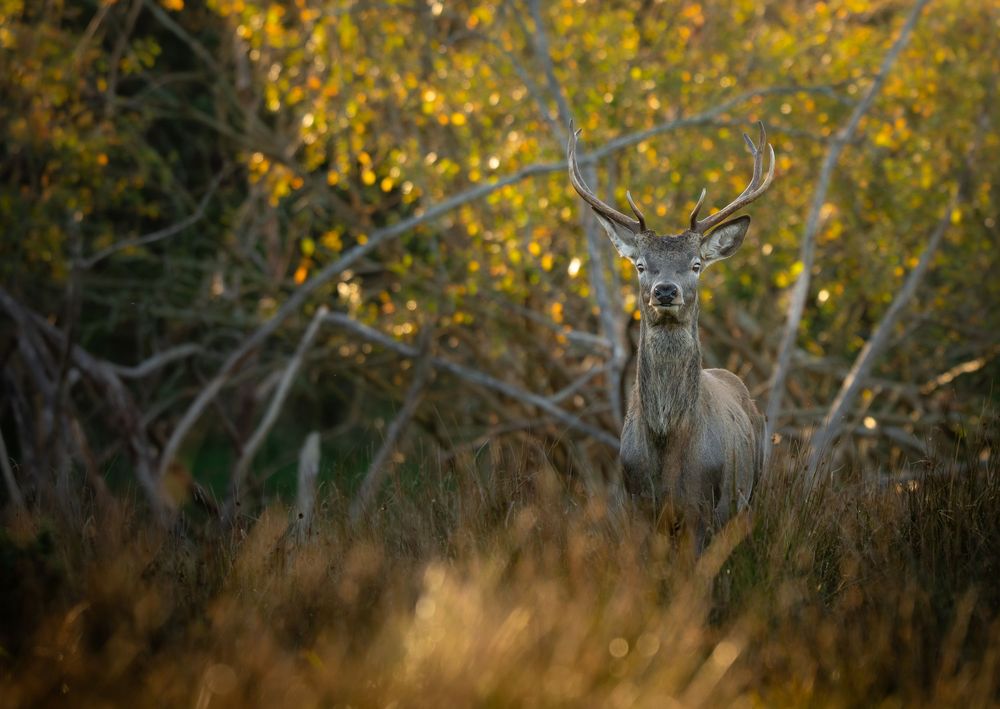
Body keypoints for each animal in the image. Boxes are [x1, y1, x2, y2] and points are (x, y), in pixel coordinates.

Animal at [568, 121, 775, 549]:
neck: (668, 443)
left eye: (695, 265)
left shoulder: (704, 507)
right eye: (641, 265)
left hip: (754, 485)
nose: (665, 290)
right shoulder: (637, 505)